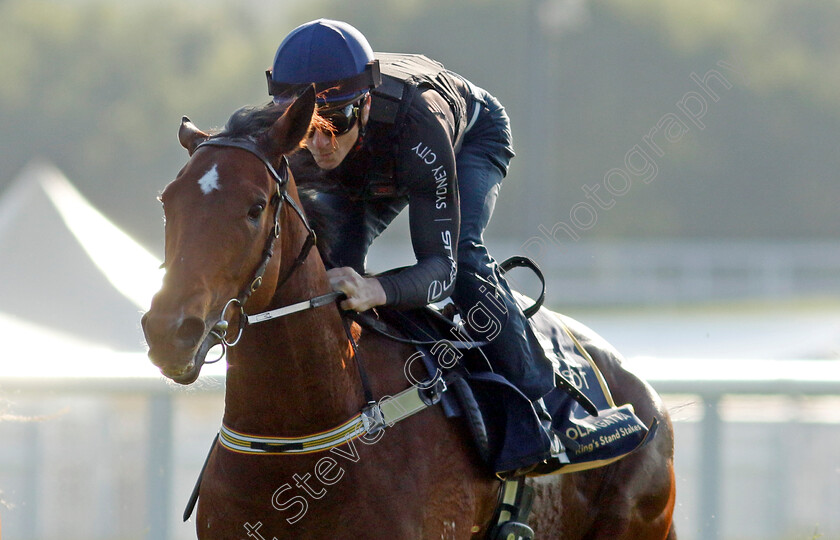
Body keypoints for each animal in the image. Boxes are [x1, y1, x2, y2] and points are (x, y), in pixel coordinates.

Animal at [139, 88, 676, 540]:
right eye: (166, 202)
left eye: (255, 208)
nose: (169, 332)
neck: (294, 437)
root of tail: (651, 398)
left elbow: (445, 260)